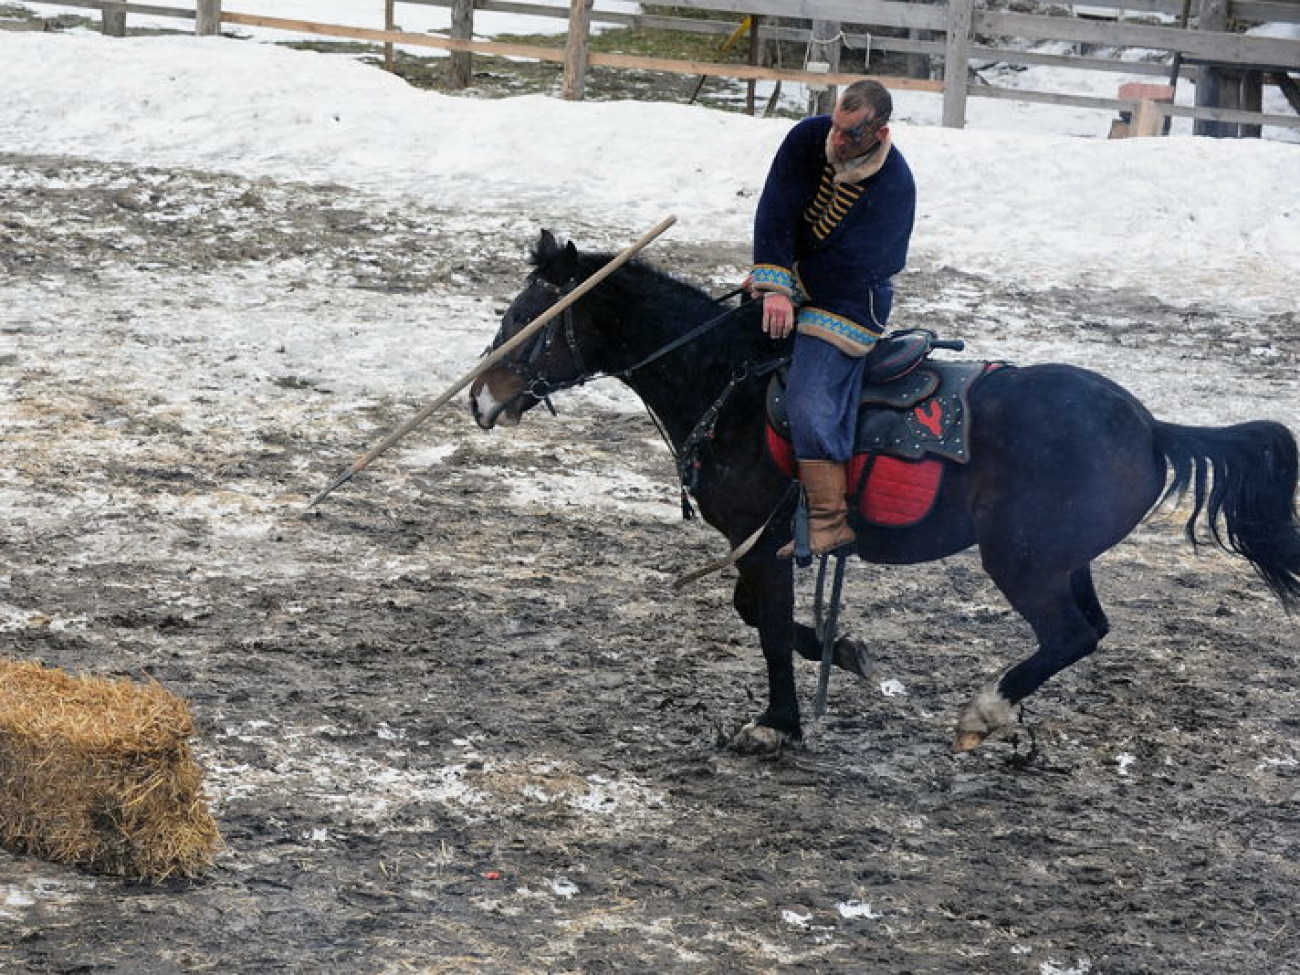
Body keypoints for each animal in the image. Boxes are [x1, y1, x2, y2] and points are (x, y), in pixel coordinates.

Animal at [467, 231, 1300, 754]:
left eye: (528, 317)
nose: (479, 398)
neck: (730, 385)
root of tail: (1153, 427)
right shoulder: (761, 547)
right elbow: (758, 615)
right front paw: (843, 649)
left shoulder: (766, 544)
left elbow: (767, 627)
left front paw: (778, 722)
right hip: (1066, 557)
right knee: (1088, 629)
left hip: (1023, 559)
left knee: (1070, 633)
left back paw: (986, 711)